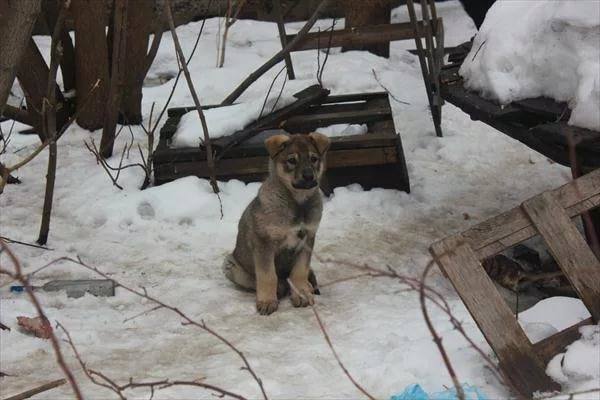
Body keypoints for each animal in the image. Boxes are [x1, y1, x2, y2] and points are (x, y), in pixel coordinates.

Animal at [223, 133, 330, 314]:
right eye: (292, 160)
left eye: (314, 159)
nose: (309, 176)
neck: (298, 203)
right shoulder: (264, 242)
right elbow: (267, 275)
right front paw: (267, 301)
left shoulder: (308, 238)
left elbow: (300, 271)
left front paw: (302, 293)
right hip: (230, 265)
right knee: (258, 282)